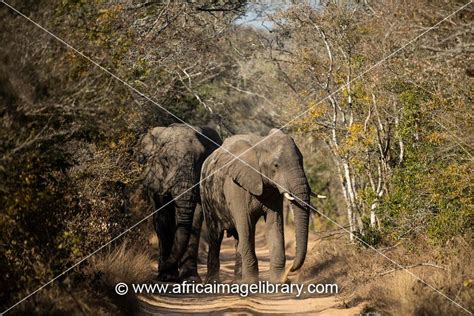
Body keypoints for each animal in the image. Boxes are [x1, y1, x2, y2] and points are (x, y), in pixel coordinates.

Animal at [140, 123, 223, 282]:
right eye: (166, 159)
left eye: (200, 159)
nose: (159, 268)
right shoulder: (158, 177)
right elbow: (163, 215)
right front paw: (167, 276)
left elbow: (195, 218)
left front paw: (190, 279)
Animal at [200, 128, 312, 284]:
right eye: (276, 165)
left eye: (301, 160)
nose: (290, 272)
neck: (260, 143)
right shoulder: (236, 187)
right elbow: (246, 225)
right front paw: (252, 283)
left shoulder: (273, 191)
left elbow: (274, 225)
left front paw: (278, 282)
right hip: (207, 194)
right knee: (216, 236)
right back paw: (213, 282)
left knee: (238, 238)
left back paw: (237, 280)